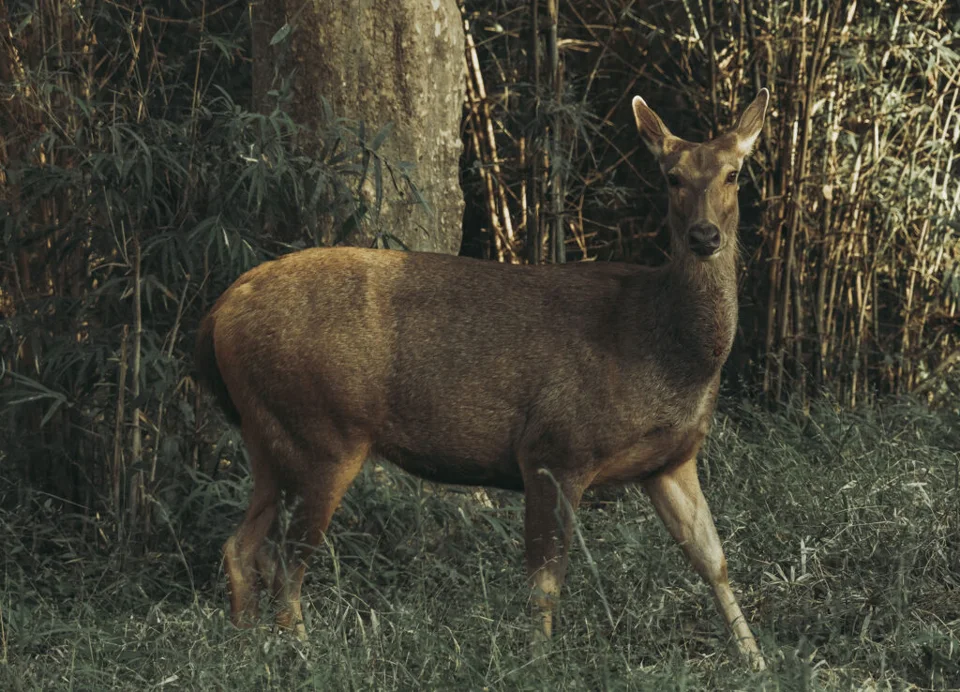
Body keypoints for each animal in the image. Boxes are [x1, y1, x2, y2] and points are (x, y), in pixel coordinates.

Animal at [194, 89, 770, 670]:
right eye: (671, 176)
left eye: (734, 173)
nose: (704, 235)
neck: (664, 352)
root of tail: (219, 311)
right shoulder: (555, 447)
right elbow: (545, 581)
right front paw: (538, 664)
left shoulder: (671, 460)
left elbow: (713, 558)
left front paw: (755, 660)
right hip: (323, 431)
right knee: (286, 561)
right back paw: (304, 656)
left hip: (269, 435)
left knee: (242, 547)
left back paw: (247, 650)